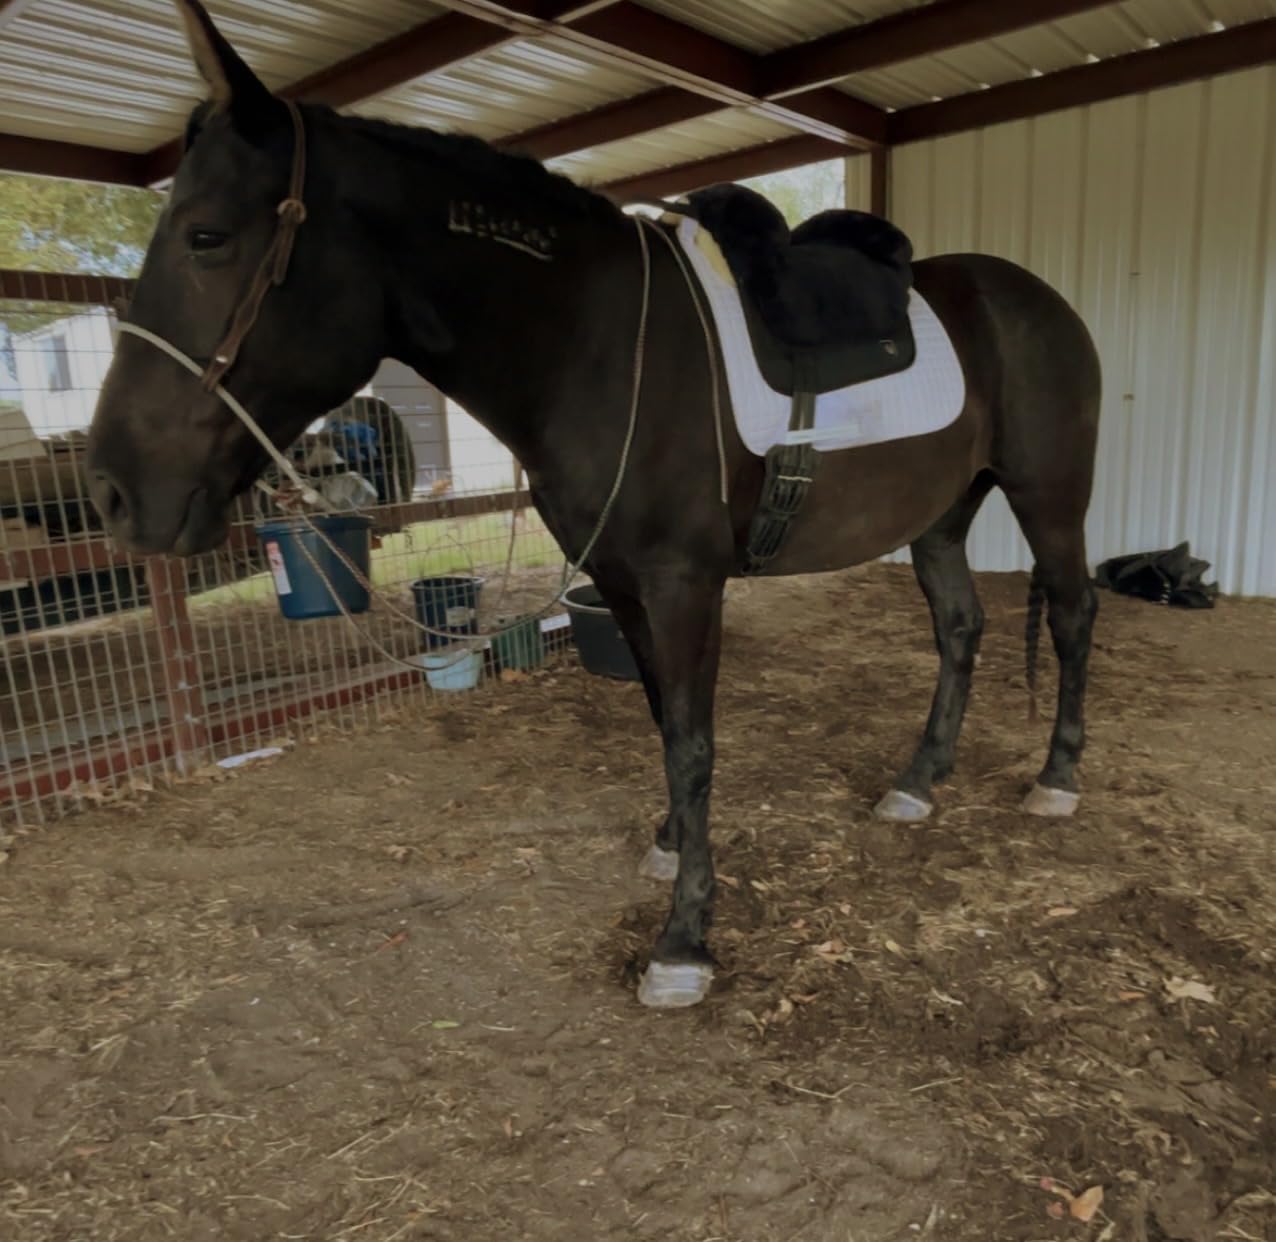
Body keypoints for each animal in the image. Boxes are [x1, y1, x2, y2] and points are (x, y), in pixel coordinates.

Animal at [86, 0, 1101, 1009]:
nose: (113, 491)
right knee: (961, 628)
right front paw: (671, 848)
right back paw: (920, 782)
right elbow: (662, 720)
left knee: (1073, 615)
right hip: (941, 516)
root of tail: (1039, 302)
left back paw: (1057, 777)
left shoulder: (685, 584)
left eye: (207, 237)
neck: (594, 345)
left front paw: (685, 941)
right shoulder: (619, 581)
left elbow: (693, 742)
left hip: (1049, 499)